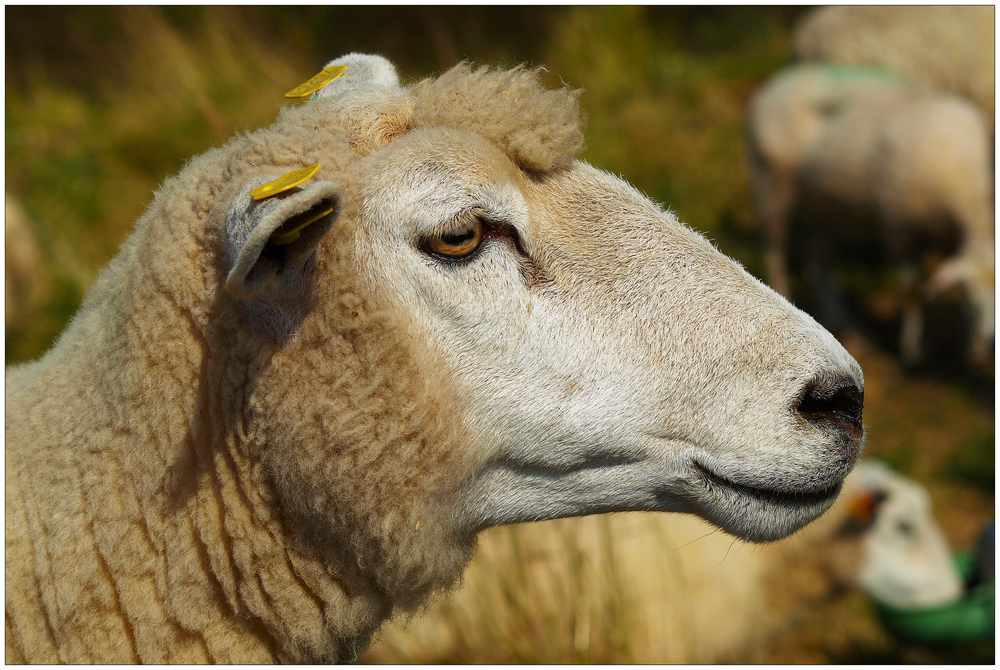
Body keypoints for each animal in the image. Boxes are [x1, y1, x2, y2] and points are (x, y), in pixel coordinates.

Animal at [752, 64, 992, 372]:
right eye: (974, 298)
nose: (991, 342)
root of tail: (781, 79)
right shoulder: (897, 227)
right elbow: (910, 290)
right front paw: (913, 352)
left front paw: (969, 348)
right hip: (772, 181)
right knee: (775, 252)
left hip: (823, 203)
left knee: (819, 259)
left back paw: (849, 327)